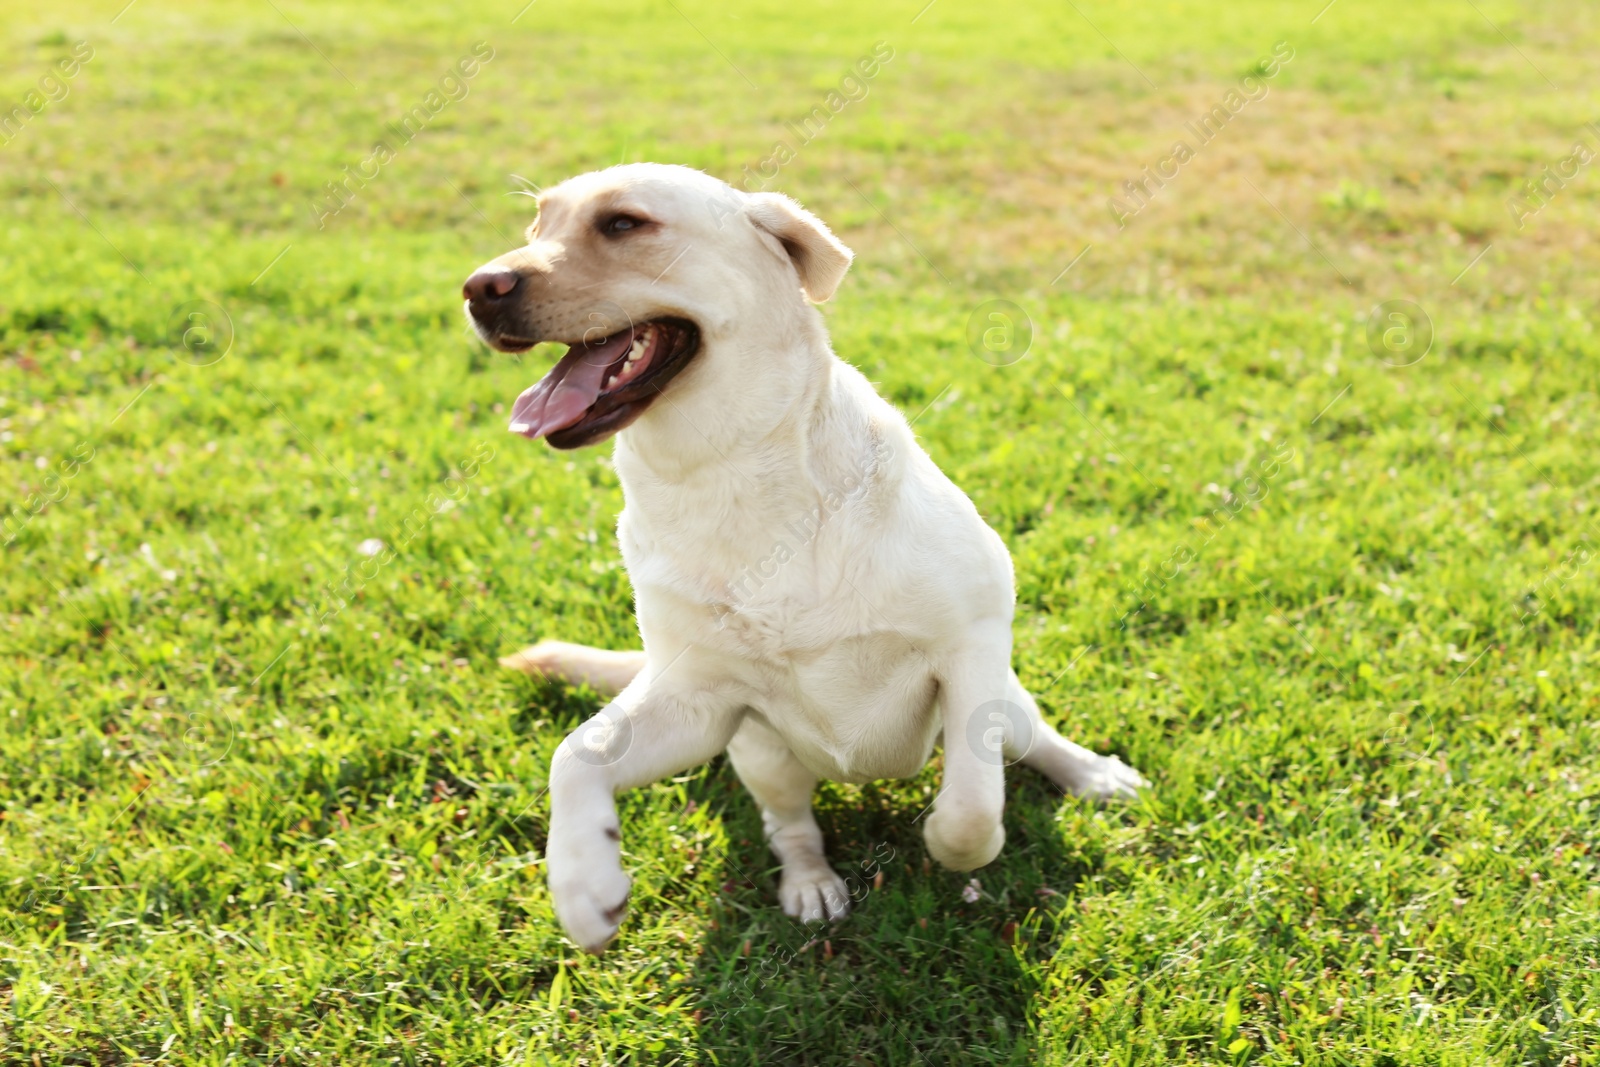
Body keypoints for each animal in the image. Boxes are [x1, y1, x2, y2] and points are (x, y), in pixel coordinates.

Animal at [457, 163, 1145, 953]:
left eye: (624, 224)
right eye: (538, 225)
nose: (477, 287)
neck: (726, 475)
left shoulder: (971, 647)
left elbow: (972, 807)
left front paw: (952, 846)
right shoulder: (697, 701)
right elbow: (574, 753)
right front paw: (583, 885)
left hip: (1008, 698)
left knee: (1035, 740)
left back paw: (1094, 775)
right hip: (761, 756)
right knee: (789, 825)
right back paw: (811, 884)